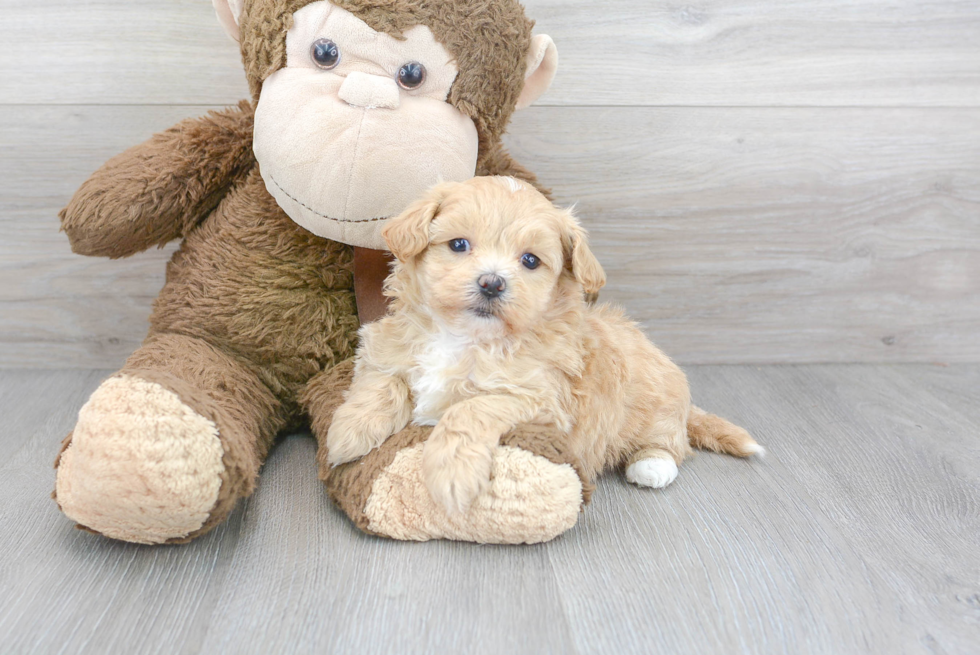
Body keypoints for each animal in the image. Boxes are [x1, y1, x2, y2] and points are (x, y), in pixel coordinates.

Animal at [326, 177, 760, 516]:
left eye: (531, 261)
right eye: (459, 244)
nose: (492, 282)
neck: (466, 337)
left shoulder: (540, 399)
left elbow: (470, 409)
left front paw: (451, 473)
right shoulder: (386, 349)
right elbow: (384, 383)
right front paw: (349, 431)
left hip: (655, 406)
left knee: (671, 443)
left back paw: (652, 466)